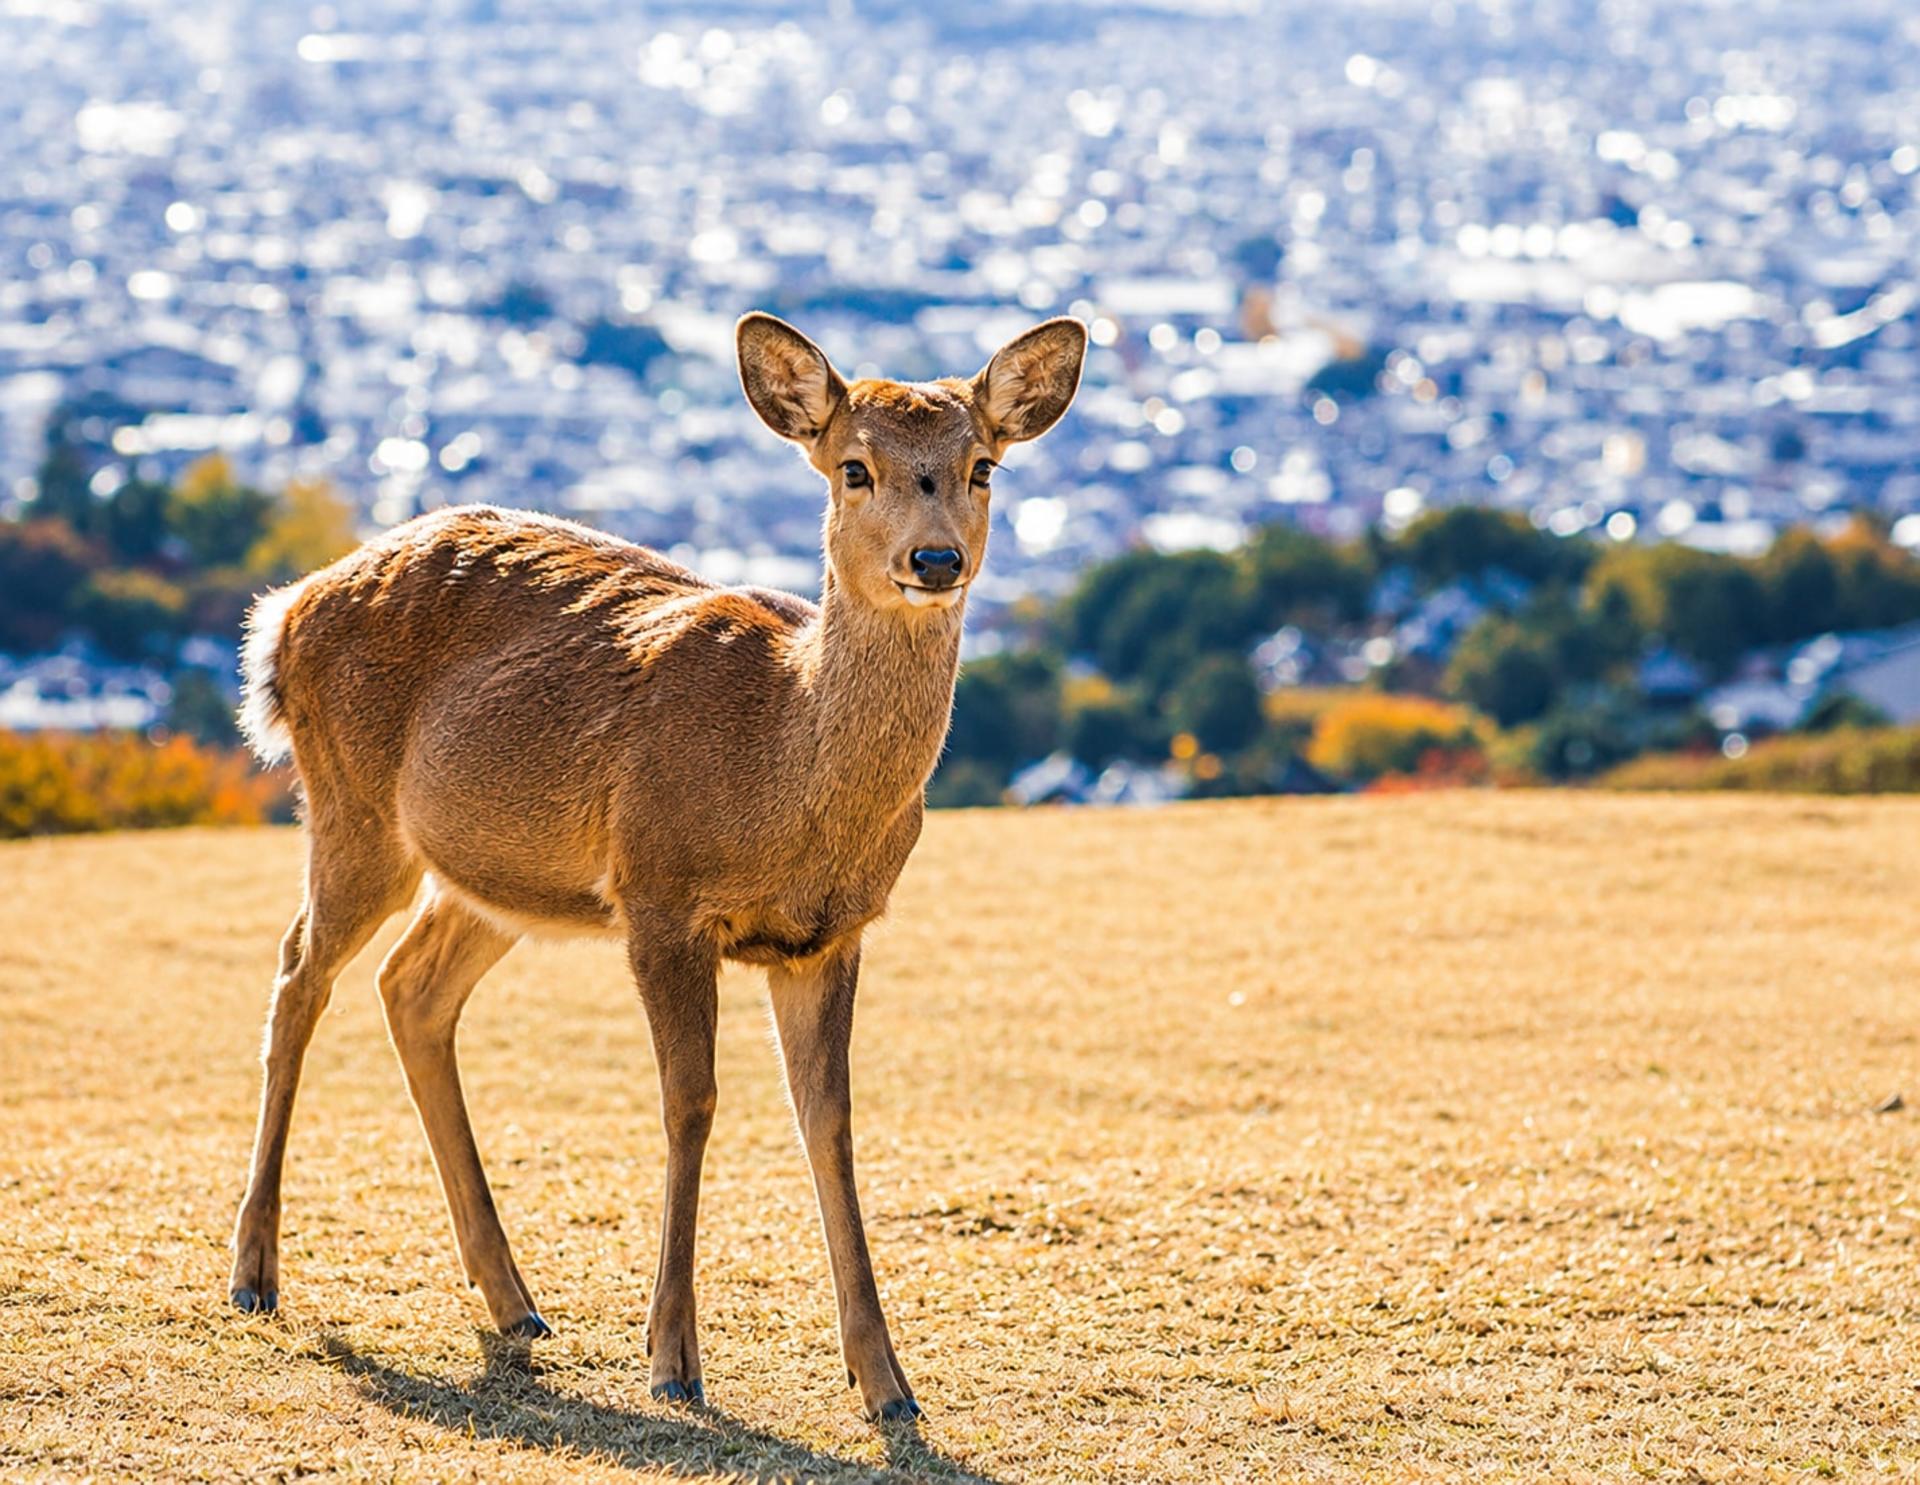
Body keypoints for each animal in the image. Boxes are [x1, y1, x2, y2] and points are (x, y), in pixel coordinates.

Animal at [225, 311, 1087, 1421]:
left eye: (983, 465)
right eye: (854, 467)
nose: (934, 558)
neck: (783, 764)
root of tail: (282, 613)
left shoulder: (832, 933)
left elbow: (831, 1121)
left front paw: (887, 1382)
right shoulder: (660, 893)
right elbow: (692, 1104)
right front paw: (674, 1359)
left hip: (497, 874)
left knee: (410, 985)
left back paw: (515, 1302)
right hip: (352, 807)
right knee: (299, 972)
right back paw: (255, 1273)